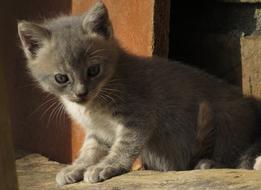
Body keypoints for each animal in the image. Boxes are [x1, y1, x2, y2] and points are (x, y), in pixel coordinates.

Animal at [19, 1, 260, 186]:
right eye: (61, 78)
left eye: (93, 70)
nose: (81, 93)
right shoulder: (98, 131)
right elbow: (89, 151)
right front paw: (75, 168)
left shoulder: (138, 117)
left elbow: (124, 147)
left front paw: (107, 166)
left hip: (227, 120)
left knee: (236, 157)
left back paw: (209, 163)